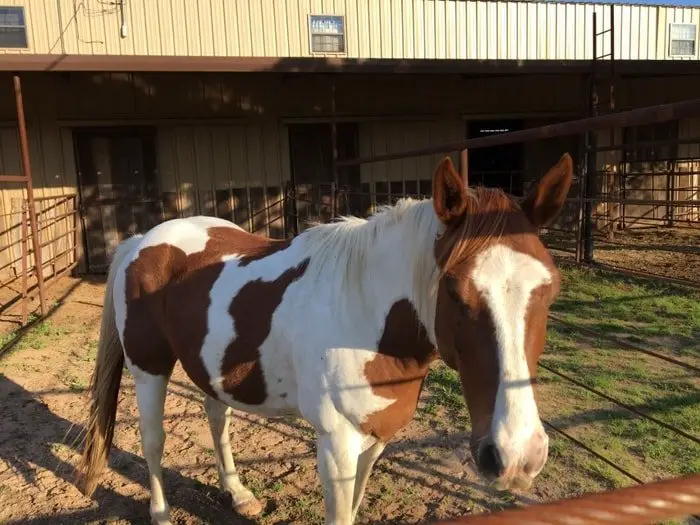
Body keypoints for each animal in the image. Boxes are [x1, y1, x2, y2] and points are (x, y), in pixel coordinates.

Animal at [76, 152, 576, 524]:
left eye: (551, 289)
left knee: (217, 419)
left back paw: (238, 493)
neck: (364, 314)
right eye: (454, 290)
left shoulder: (375, 439)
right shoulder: (335, 444)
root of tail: (141, 240)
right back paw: (161, 512)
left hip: (211, 366)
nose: (516, 456)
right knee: (153, 440)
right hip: (149, 369)